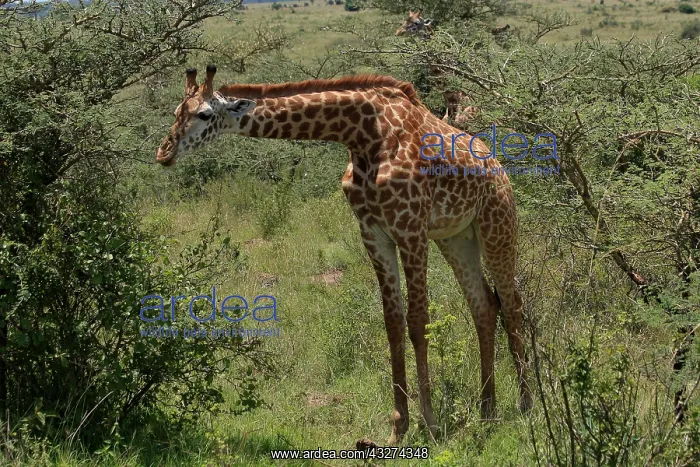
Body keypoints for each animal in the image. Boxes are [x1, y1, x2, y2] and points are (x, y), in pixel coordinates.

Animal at [156, 66, 533, 444]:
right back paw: (487, 411)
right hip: (456, 238)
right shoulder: (374, 233)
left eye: (204, 115)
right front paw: (398, 427)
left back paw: (526, 404)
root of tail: (498, 165)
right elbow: (393, 323)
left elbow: (417, 321)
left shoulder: (410, 229)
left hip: (496, 224)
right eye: (176, 111)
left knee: (512, 302)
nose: (164, 152)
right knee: (484, 304)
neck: (362, 134)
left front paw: (430, 423)